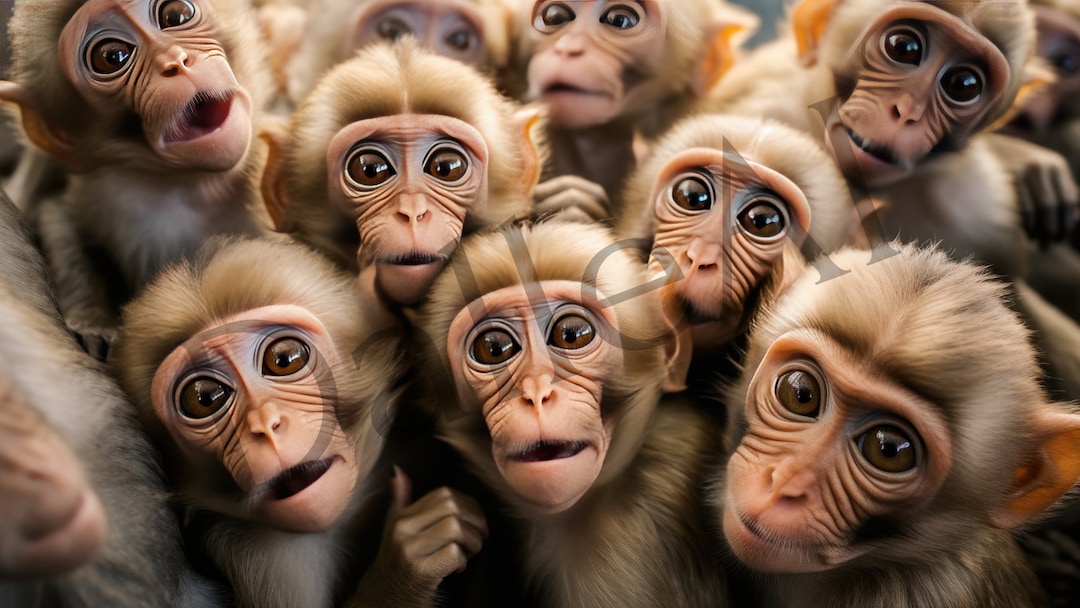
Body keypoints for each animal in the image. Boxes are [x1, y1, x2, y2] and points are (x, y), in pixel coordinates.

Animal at [0, 0, 273, 358]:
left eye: (176, 15)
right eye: (112, 56)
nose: (175, 61)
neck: (195, 186)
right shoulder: (107, 192)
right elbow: (58, 214)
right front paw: (93, 321)